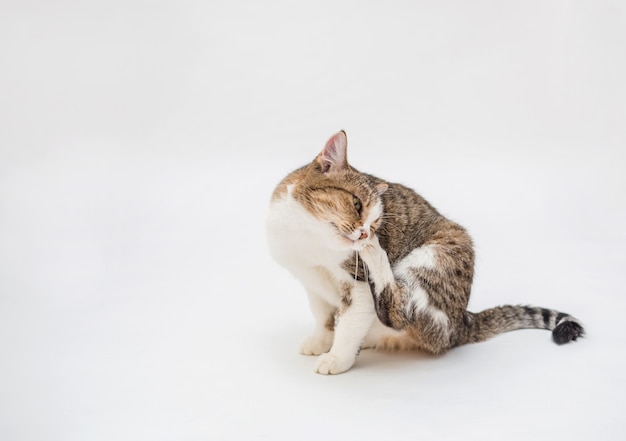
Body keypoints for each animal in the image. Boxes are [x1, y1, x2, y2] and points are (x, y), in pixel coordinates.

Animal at [266, 129, 584, 372]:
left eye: (376, 222)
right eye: (356, 205)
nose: (366, 233)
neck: (310, 243)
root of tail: (462, 320)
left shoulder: (358, 287)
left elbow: (348, 323)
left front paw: (336, 358)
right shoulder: (311, 281)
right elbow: (323, 315)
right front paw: (321, 340)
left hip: (436, 255)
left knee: (400, 312)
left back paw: (376, 257)